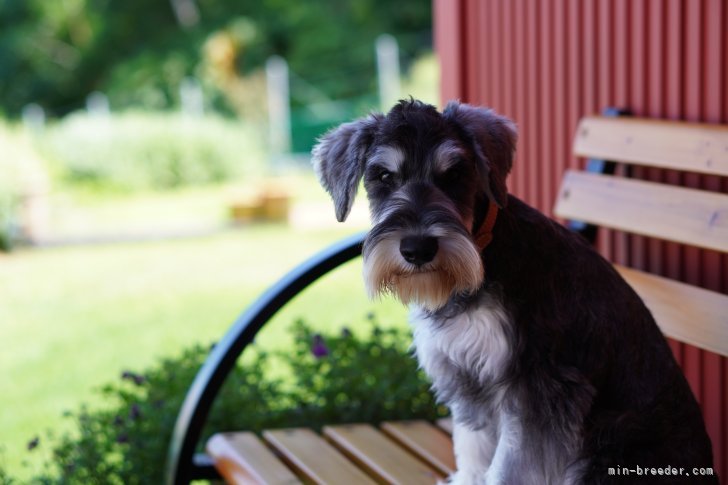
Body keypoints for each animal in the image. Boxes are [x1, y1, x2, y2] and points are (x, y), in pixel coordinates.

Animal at [310, 99, 712, 484]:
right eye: (383, 176)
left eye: (455, 174)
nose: (418, 248)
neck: (484, 253)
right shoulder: (467, 377)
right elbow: (473, 451)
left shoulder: (537, 389)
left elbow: (512, 465)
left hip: (611, 442)